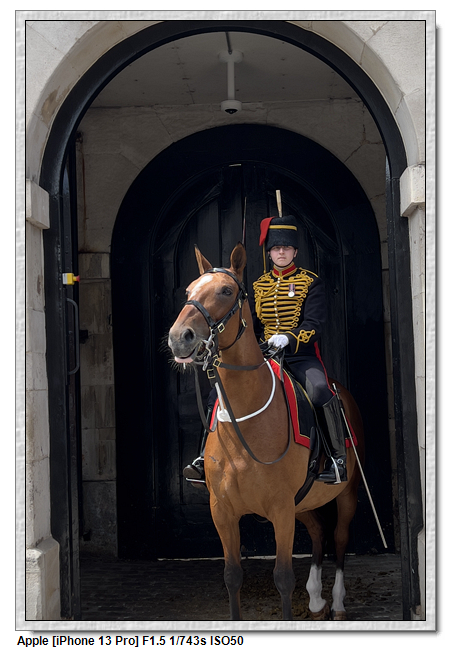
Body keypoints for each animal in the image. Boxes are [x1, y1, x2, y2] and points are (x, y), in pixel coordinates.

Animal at [168, 243, 364, 621]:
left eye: (226, 291)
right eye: (188, 291)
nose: (179, 338)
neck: (246, 422)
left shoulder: (281, 508)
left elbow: (283, 578)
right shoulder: (222, 510)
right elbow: (232, 576)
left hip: (345, 492)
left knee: (340, 538)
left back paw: (336, 602)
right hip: (304, 502)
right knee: (318, 533)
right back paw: (315, 599)